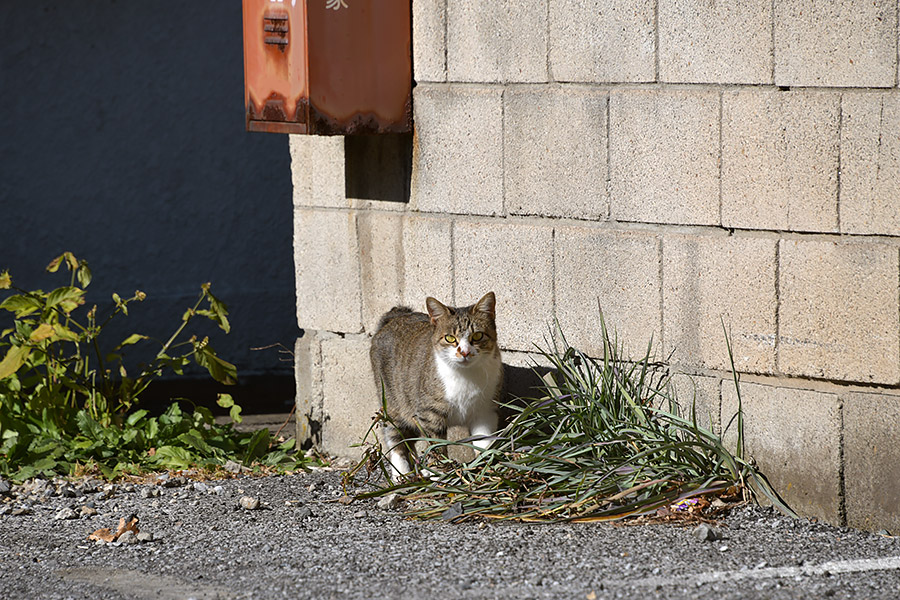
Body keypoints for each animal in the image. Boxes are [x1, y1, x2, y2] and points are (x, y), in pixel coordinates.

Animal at [370, 290, 502, 478]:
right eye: (450, 338)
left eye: (477, 336)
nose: (465, 352)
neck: (466, 376)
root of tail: (395, 316)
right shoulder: (429, 414)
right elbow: (436, 445)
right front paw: (438, 472)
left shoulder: (485, 410)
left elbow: (484, 441)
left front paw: (485, 465)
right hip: (392, 402)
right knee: (396, 438)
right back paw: (402, 474)